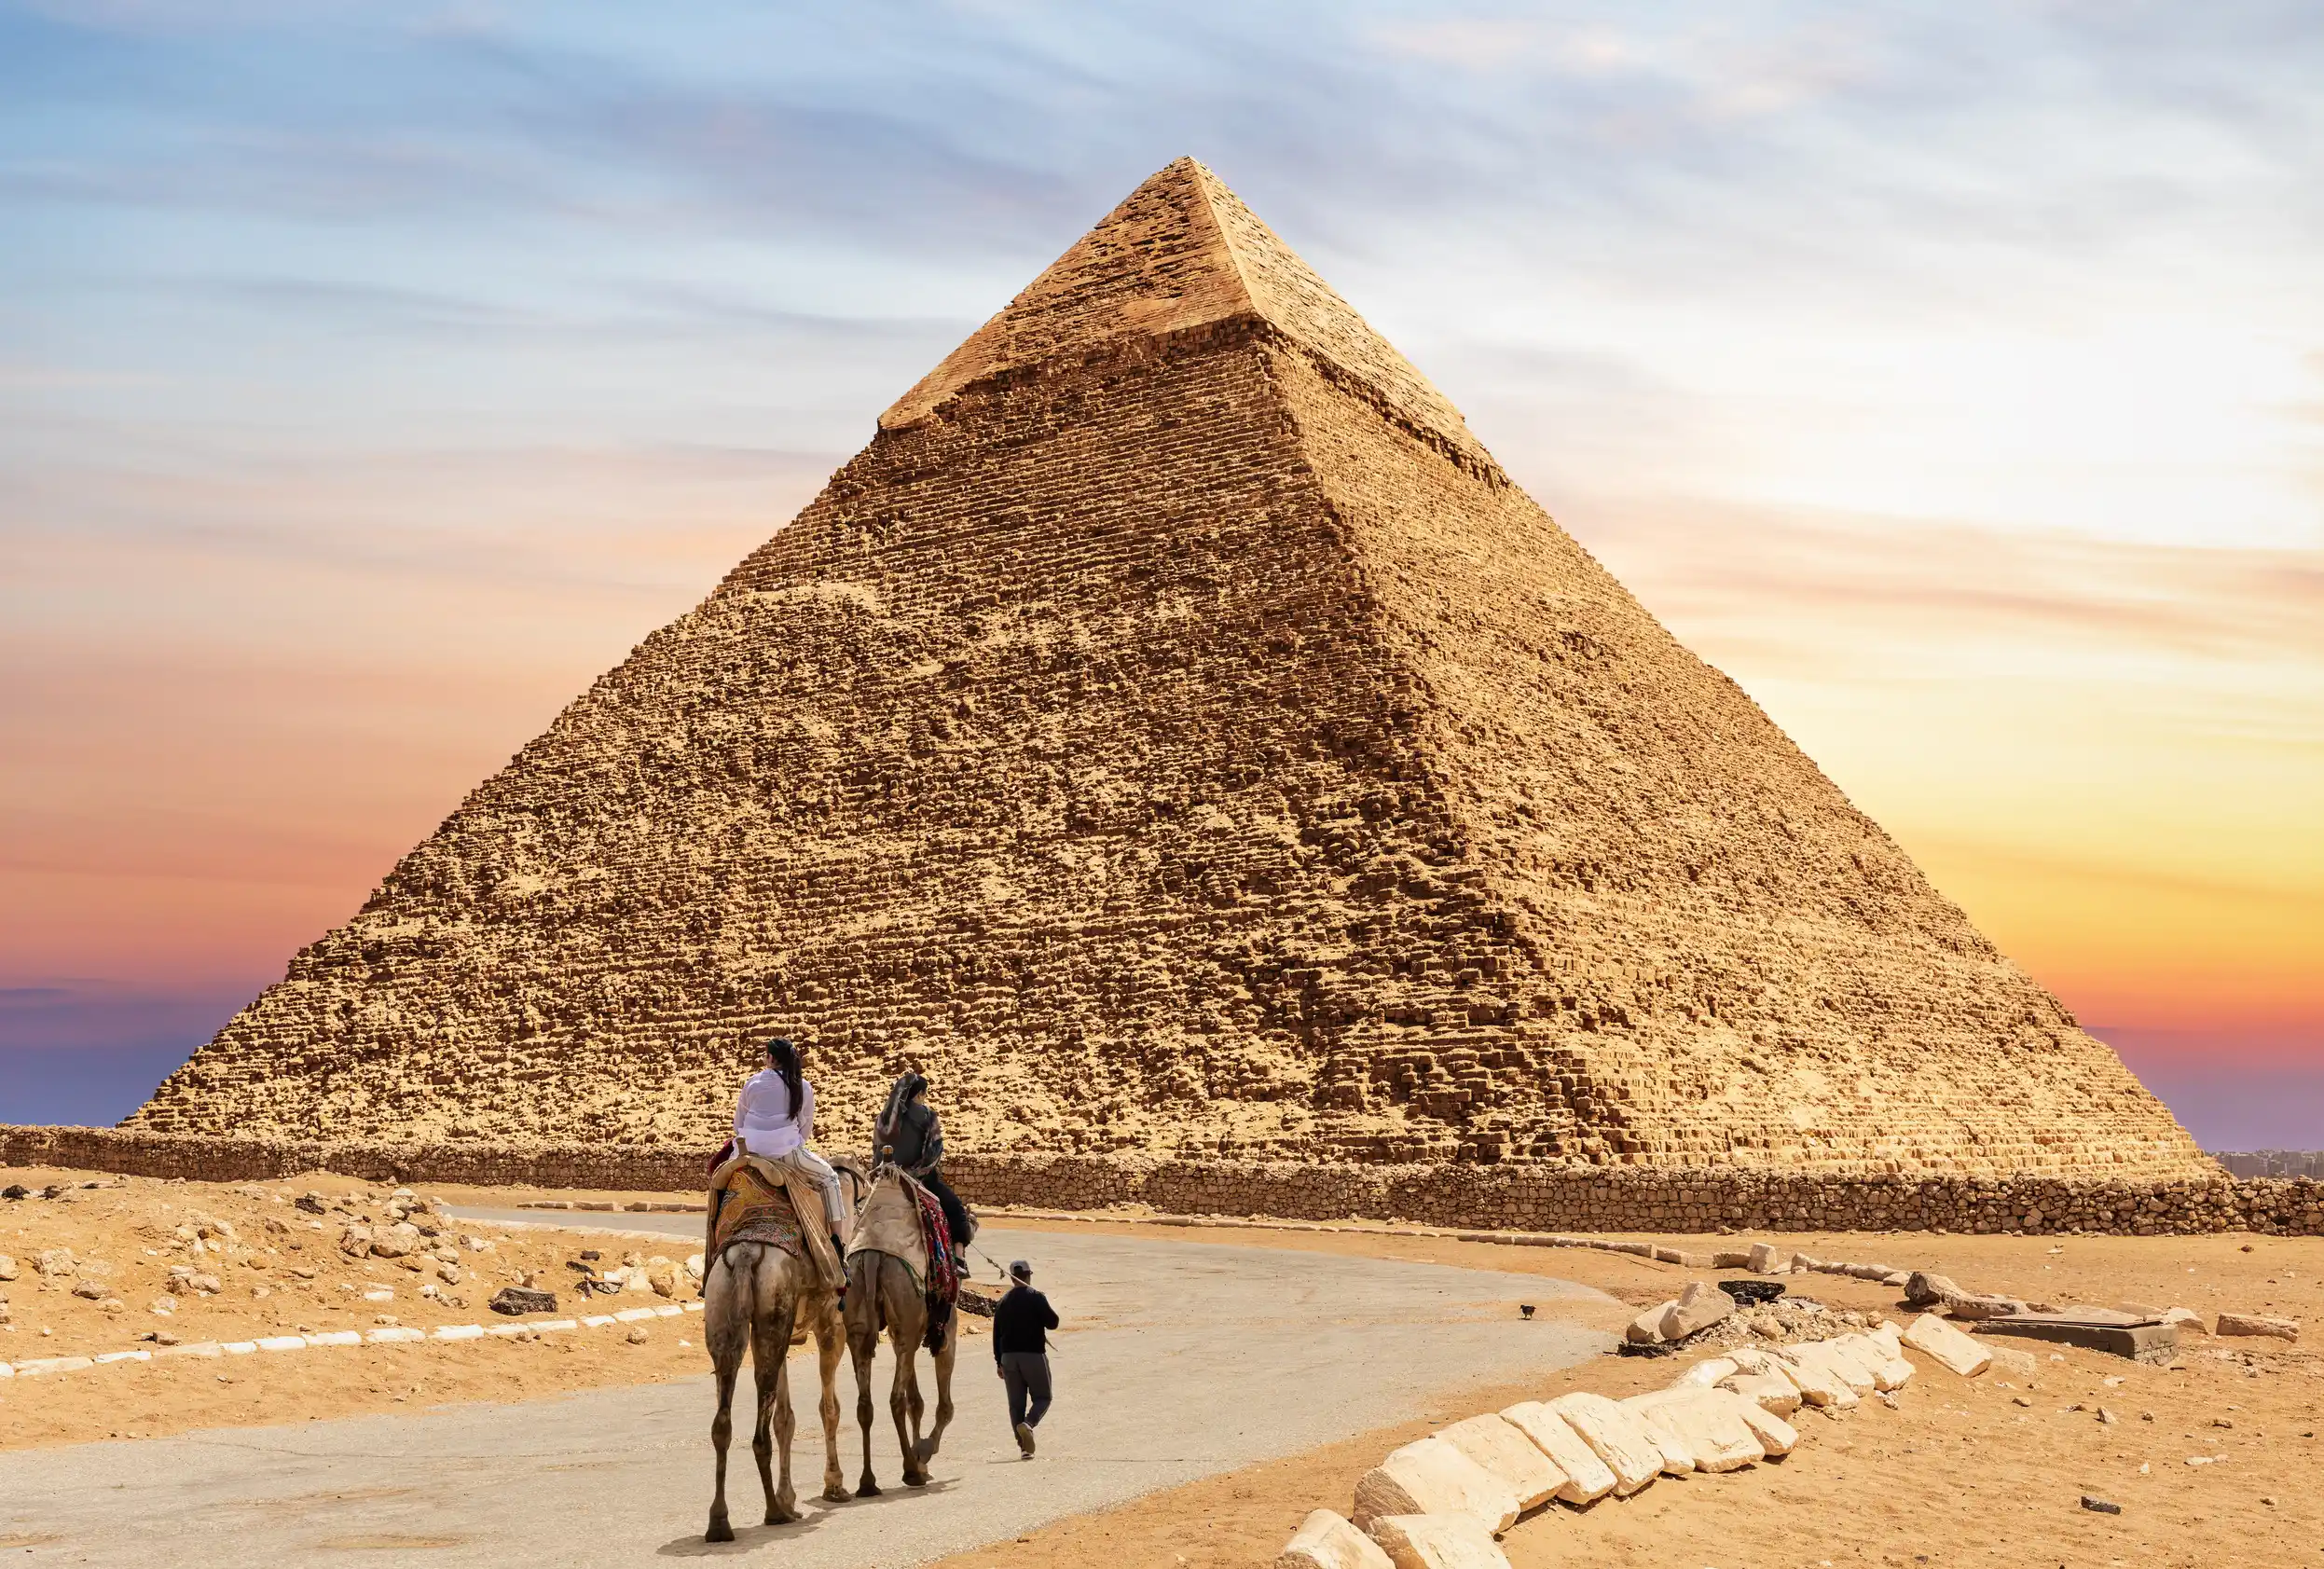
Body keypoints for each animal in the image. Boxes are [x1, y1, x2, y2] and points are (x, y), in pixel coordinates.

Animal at [701, 1158, 868, 1542]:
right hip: (773, 1307)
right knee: (758, 1427)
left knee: (723, 1419)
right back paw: (773, 1513)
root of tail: (746, 1254)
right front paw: (834, 1486)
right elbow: (829, 1408)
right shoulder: (830, 1323)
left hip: (726, 1305)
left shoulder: (787, 1331)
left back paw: (720, 1522)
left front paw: (789, 1497)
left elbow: (785, 1418)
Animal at [844, 1165, 959, 1495]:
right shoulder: (945, 1330)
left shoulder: (901, 1333)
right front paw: (924, 1454)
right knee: (895, 1399)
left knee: (865, 1403)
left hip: (858, 1318)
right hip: (906, 1307)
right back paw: (910, 1472)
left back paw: (868, 1481)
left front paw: (921, 1458)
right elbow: (944, 1406)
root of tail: (873, 1257)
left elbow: (916, 1401)